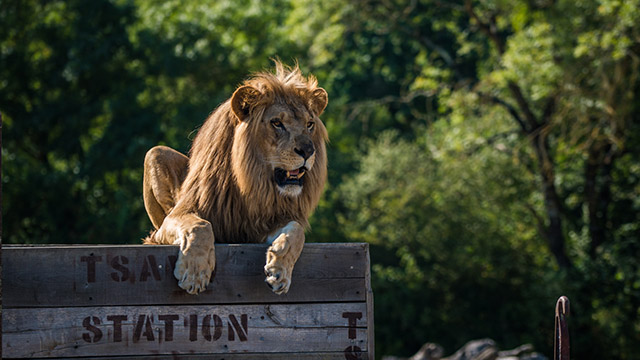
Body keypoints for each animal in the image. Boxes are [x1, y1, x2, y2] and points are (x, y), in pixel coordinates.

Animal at [142, 62, 328, 294]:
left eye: (310, 124)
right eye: (277, 123)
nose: (308, 151)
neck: (254, 180)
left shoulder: (259, 226)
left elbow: (296, 230)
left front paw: (279, 271)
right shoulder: (175, 218)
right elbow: (200, 226)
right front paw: (194, 273)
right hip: (155, 153)